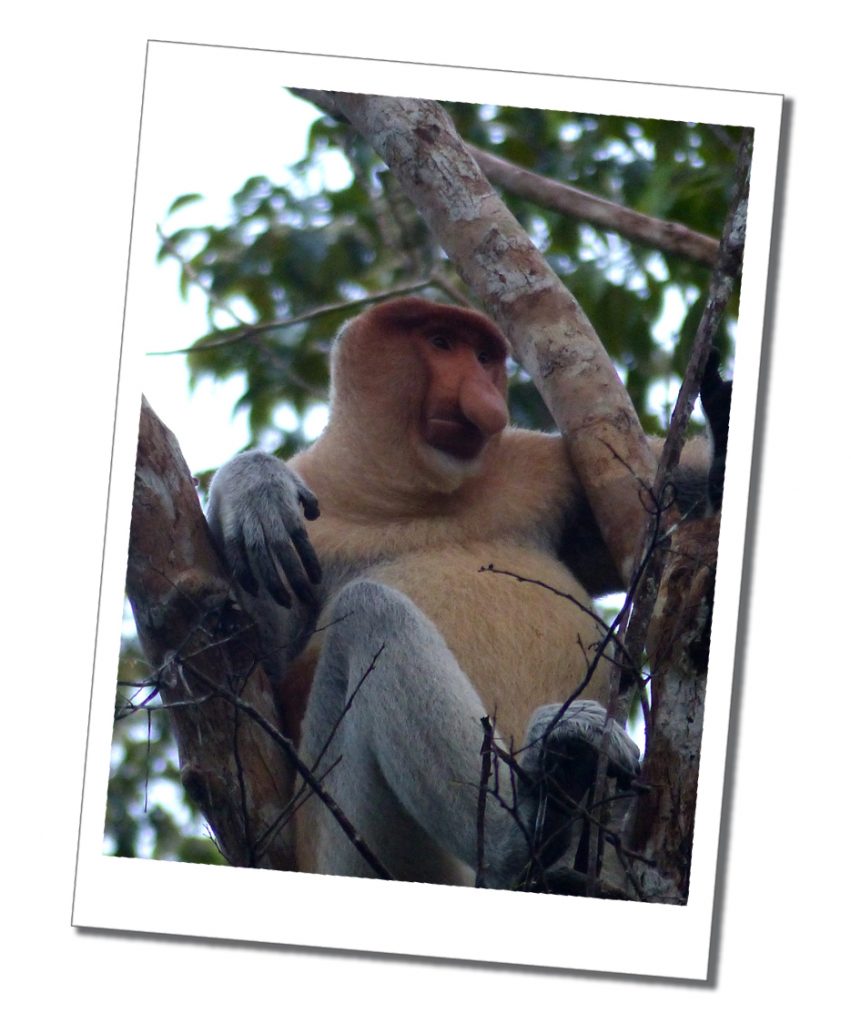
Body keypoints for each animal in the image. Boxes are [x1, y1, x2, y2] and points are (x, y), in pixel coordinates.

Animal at [207, 297, 718, 889]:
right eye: (441, 344)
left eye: (483, 356)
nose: (486, 399)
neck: (413, 498)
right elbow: (254, 708)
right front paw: (253, 487)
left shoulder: (540, 468)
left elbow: (679, 486)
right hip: (350, 856)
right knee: (369, 614)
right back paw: (525, 826)